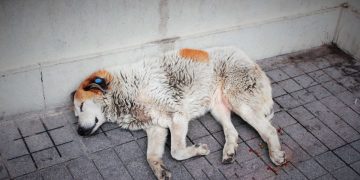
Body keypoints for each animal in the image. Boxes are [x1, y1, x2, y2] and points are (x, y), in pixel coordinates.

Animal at [72, 47, 286, 179]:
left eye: (81, 107)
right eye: (76, 114)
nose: (79, 132)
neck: (125, 90)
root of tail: (247, 57)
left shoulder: (177, 116)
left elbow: (176, 152)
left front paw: (198, 150)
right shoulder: (156, 128)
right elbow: (151, 156)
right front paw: (159, 170)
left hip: (239, 103)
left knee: (268, 130)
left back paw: (276, 154)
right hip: (218, 108)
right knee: (232, 131)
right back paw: (229, 152)